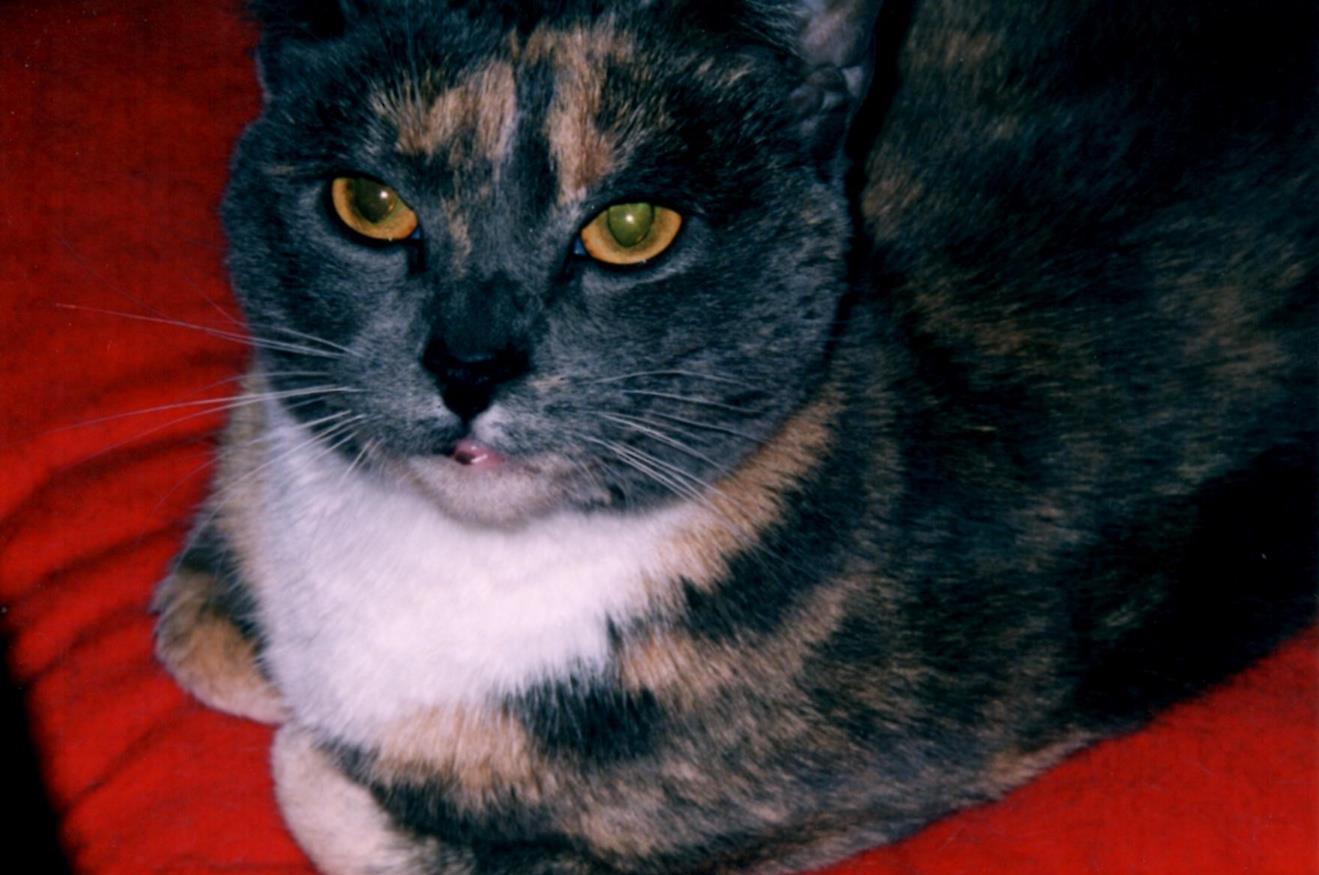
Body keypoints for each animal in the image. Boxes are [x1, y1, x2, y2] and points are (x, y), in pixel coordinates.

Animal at [149, 0, 1313, 871]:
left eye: (632, 228)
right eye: (369, 203)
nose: (469, 364)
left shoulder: (838, 792)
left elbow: (322, 785)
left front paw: (321, 742)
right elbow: (199, 630)